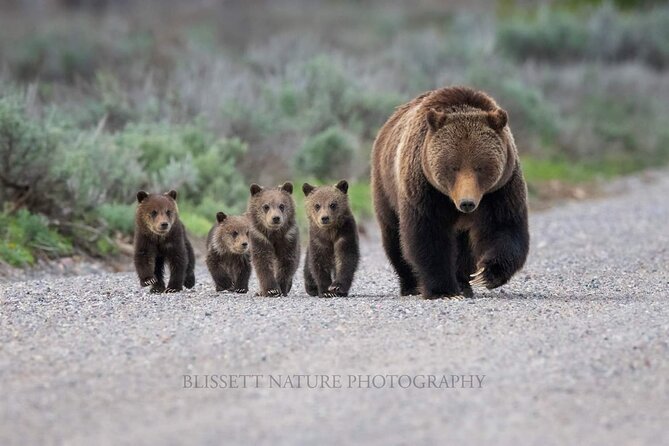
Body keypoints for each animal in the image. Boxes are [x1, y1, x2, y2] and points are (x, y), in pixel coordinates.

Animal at [370, 85, 528, 298]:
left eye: (480, 167)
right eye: (453, 167)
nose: (467, 203)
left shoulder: (500, 189)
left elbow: (503, 226)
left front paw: (486, 273)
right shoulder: (425, 189)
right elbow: (428, 233)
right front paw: (442, 289)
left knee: (464, 245)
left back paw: (464, 282)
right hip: (386, 186)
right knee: (394, 236)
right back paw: (410, 285)